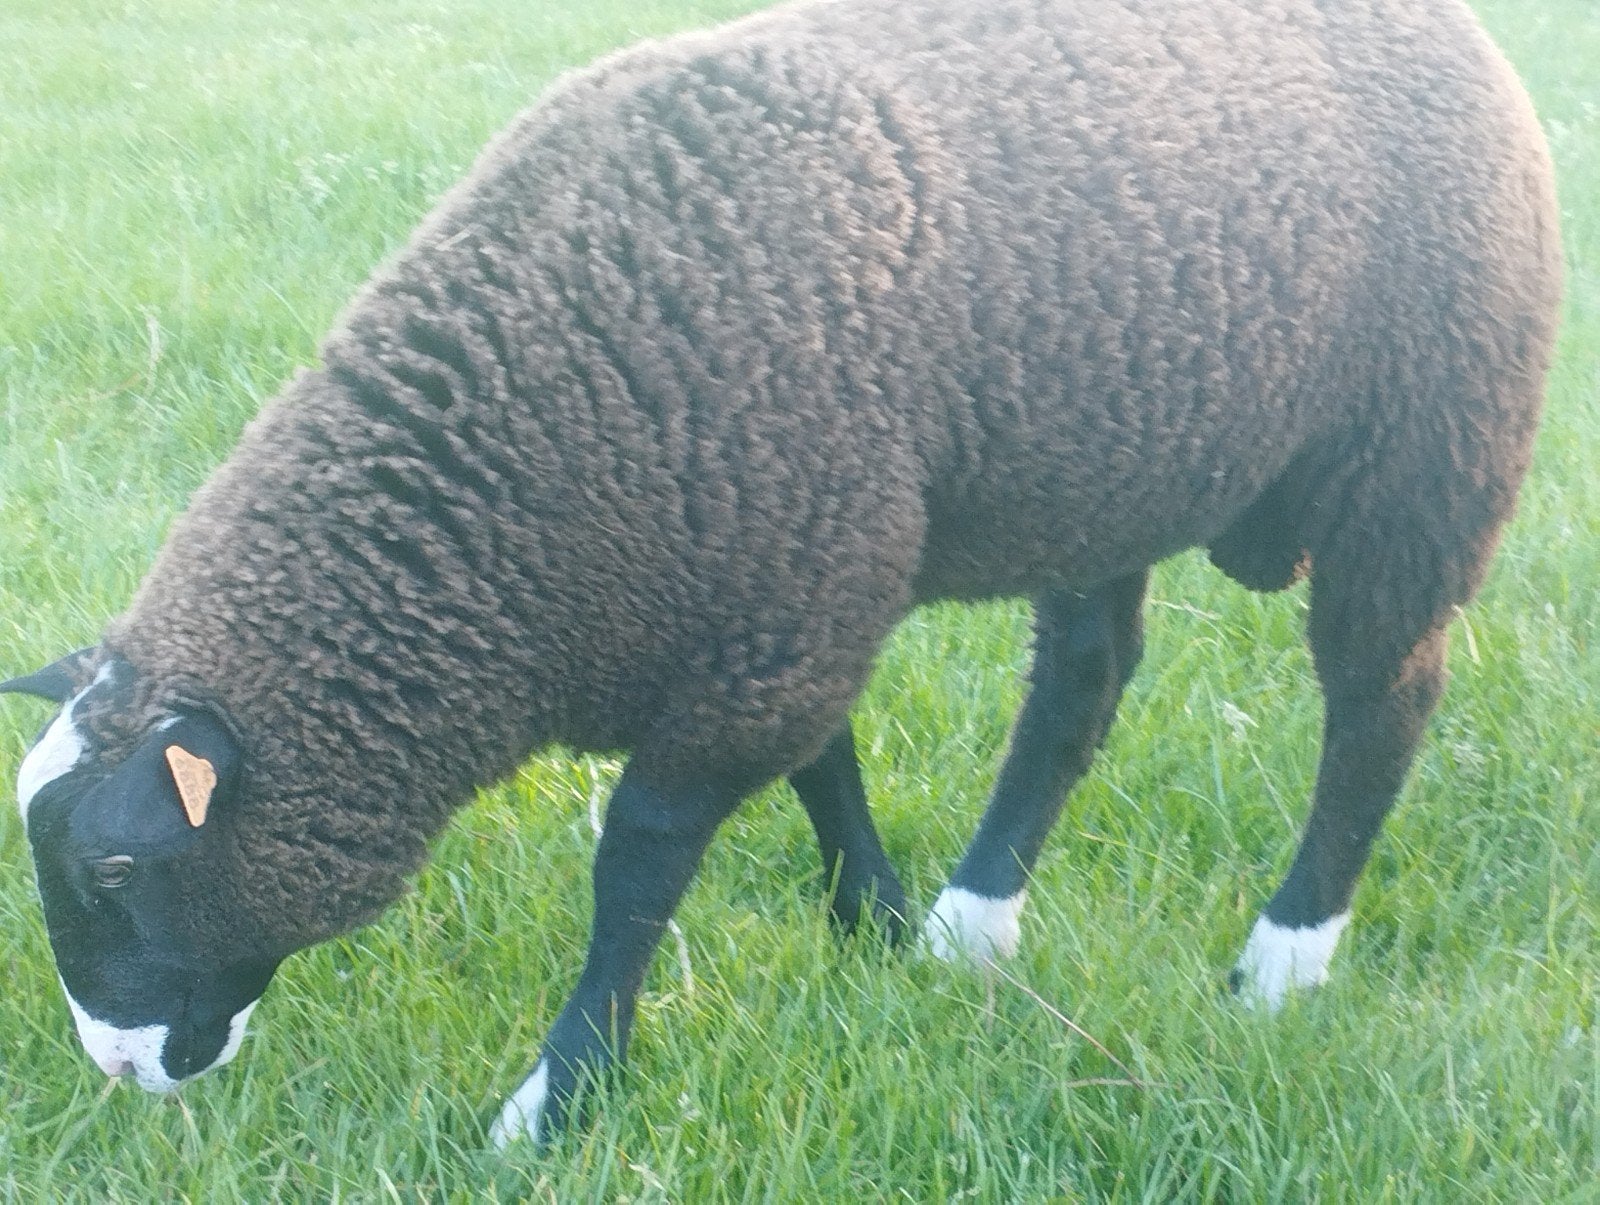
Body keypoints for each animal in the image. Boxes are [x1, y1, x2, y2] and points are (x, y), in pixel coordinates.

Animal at [1, 0, 1560, 1147]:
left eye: (118, 861)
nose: (117, 1067)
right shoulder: (786, 590)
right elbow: (828, 761)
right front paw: (875, 922)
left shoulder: (774, 610)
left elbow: (637, 863)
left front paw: (556, 1097)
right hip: (1106, 475)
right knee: (1083, 681)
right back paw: (972, 923)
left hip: (1426, 452)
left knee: (1381, 700)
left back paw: (1284, 961)